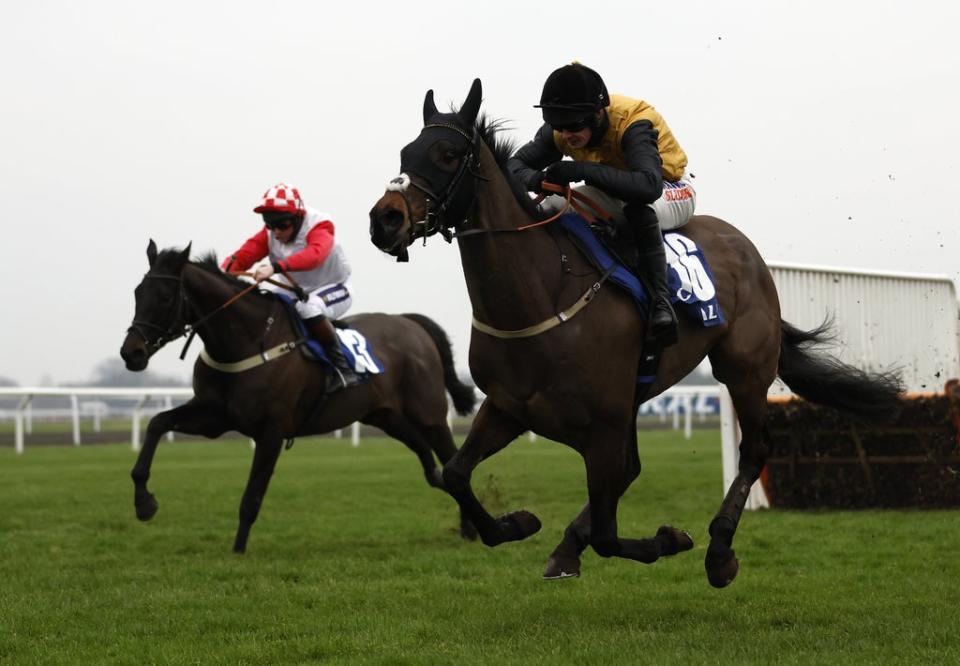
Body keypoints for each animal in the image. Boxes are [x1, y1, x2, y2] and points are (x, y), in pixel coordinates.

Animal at [121, 241, 480, 552]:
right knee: (428, 460)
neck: (249, 340)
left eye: (165, 296)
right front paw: (144, 503)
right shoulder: (214, 416)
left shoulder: (271, 431)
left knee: (449, 457)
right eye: (138, 292)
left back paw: (471, 528)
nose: (131, 353)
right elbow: (157, 423)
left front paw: (237, 551)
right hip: (385, 415)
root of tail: (410, 322)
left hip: (429, 413)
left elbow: (251, 498)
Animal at [366, 79, 900, 588]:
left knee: (753, 451)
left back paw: (719, 552)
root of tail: (744, 247)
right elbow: (456, 474)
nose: (384, 219)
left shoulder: (603, 421)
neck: (541, 294)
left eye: (447, 154)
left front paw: (670, 539)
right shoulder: (510, 407)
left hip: (744, 368)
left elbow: (608, 533)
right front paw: (518, 523)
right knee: (633, 469)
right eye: (406, 154)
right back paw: (569, 548)